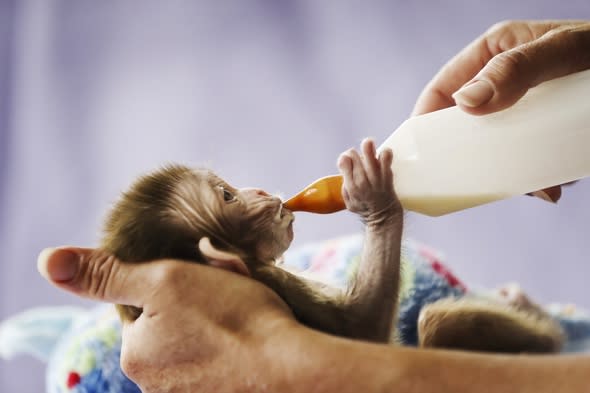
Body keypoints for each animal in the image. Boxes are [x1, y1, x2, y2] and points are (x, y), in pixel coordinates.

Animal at [102, 139, 564, 350]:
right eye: (229, 197)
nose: (260, 190)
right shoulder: (274, 285)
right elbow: (363, 329)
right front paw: (376, 197)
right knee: (437, 323)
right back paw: (548, 332)